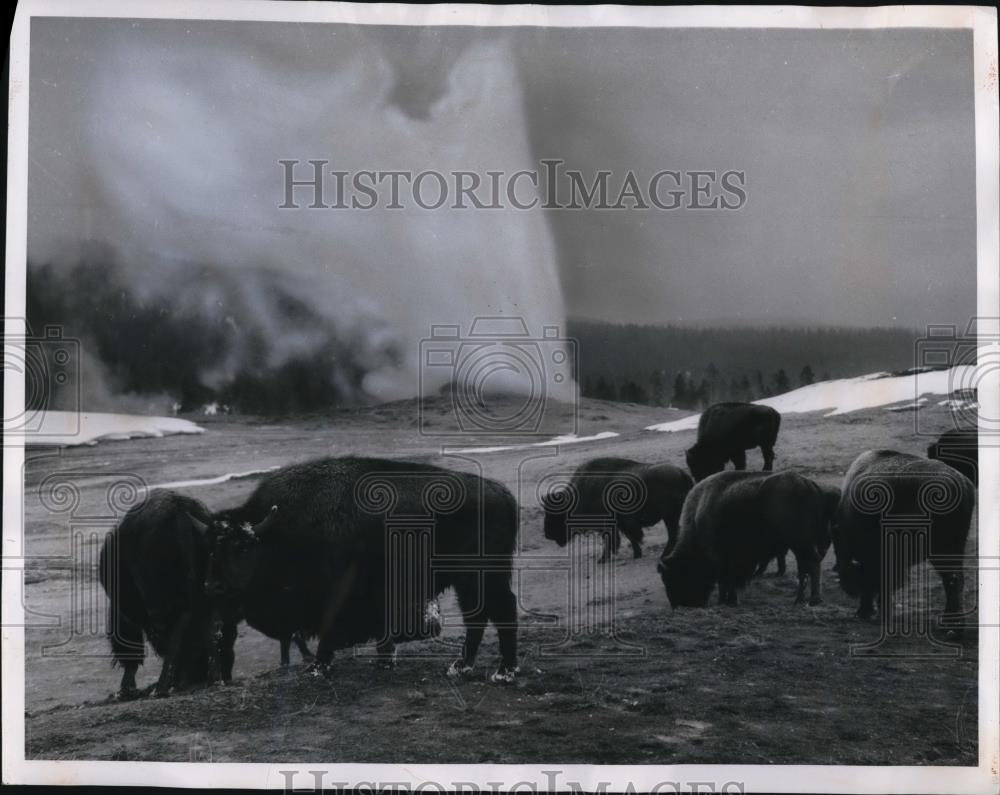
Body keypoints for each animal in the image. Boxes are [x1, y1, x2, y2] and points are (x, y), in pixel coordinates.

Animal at [97, 488, 221, 700]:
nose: (197, 675)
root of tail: (180, 512)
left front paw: (126, 689)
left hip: (161, 604)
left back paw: (162, 688)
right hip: (205, 593)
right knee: (207, 627)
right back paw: (213, 679)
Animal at [209, 460, 524, 684]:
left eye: (243, 548)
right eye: (212, 550)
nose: (214, 587)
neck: (279, 532)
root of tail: (503, 494)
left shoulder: (338, 592)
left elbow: (330, 625)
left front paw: (318, 668)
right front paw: (384, 662)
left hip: (478, 576)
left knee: (502, 609)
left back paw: (503, 673)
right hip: (468, 582)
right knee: (477, 616)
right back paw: (461, 668)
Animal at [544, 458, 692, 564]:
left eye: (557, 514)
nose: (548, 535)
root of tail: (682, 473)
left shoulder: (610, 527)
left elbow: (612, 541)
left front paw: (601, 560)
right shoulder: (621, 525)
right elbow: (631, 538)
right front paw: (637, 555)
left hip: (670, 516)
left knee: (673, 534)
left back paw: (664, 556)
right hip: (670, 516)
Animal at [656, 472, 836, 608]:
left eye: (674, 578)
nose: (678, 605)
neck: (697, 518)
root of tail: (809, 485)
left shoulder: (720, 557)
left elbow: (725, 581)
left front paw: (725, 602)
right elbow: (729, 580)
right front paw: (730, 601)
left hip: (801, 543)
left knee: (812, 564)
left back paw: (814, 600)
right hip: (800, 545)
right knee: (804, 568)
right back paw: (799, 600)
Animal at [832, 448, 972, 628]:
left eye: (837, 547)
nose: (848, 588)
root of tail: (962, 484)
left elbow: (875, 581)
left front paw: (868, 612)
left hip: (940, 549)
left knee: (952, 579)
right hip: (953, 547)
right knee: (955, 579)